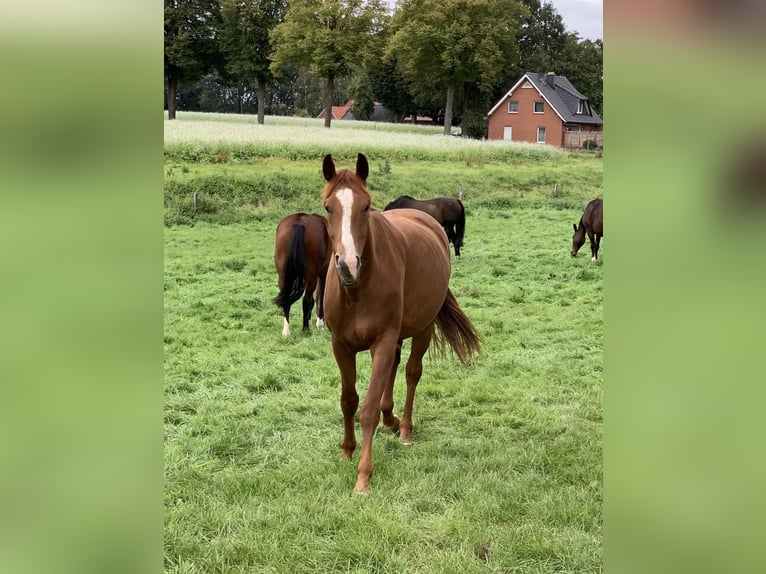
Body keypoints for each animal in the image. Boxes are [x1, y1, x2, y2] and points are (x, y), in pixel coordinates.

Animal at [321, 153, 481, 493]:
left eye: (366, 205)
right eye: (328, 207)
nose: (348, 266)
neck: (358, 290)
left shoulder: (381, 340)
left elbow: (367, 408)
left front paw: (363, 475)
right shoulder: (340, 345)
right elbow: (348, 400)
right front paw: (347, 450)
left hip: (423, 328)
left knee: (410, 373)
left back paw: (404, 428)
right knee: (394, 368)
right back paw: (390, 420)